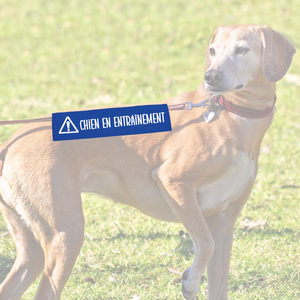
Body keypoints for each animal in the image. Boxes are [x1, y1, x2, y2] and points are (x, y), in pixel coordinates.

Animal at [0, 24, 296, 298]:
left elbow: (217, 275)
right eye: (213, 51)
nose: (211, 76)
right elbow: (205, 244)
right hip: (66, 235)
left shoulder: (224, 223)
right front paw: (190, 282)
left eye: (242, 49)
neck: (230, 113)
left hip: (33, 249)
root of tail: (11, 142)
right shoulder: (174, 183)